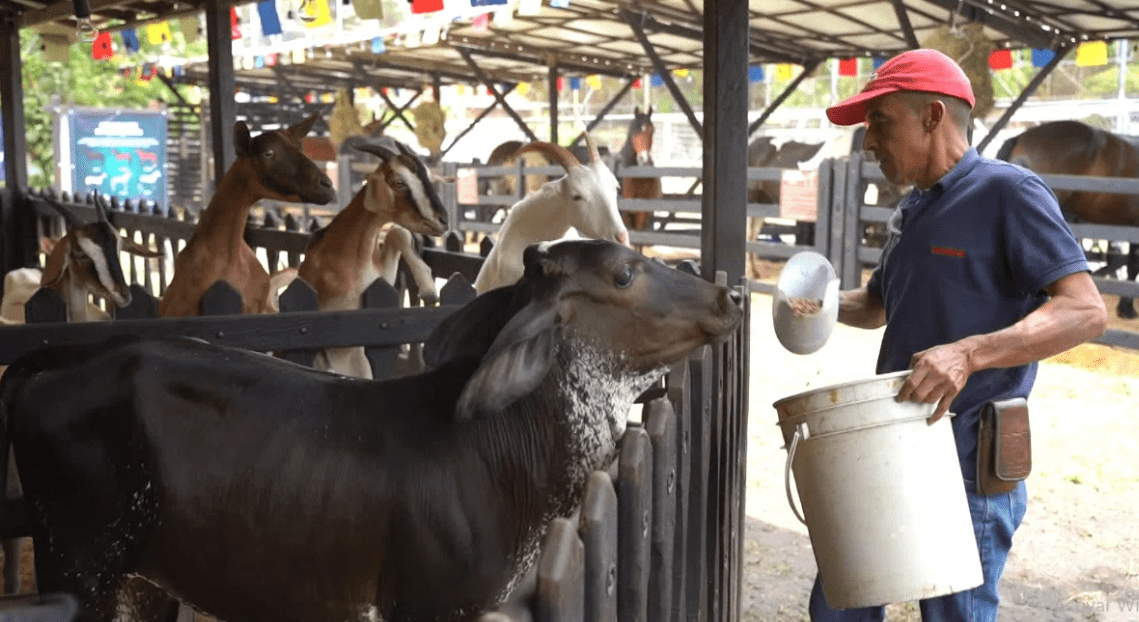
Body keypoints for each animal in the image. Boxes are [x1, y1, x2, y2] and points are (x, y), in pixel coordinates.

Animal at [0, 238, 742, 619]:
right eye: (624, 273)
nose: (730, 294)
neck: (508, 456)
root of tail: (53, 359)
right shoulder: (432, 607)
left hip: (145, 582)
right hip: (81, 573)